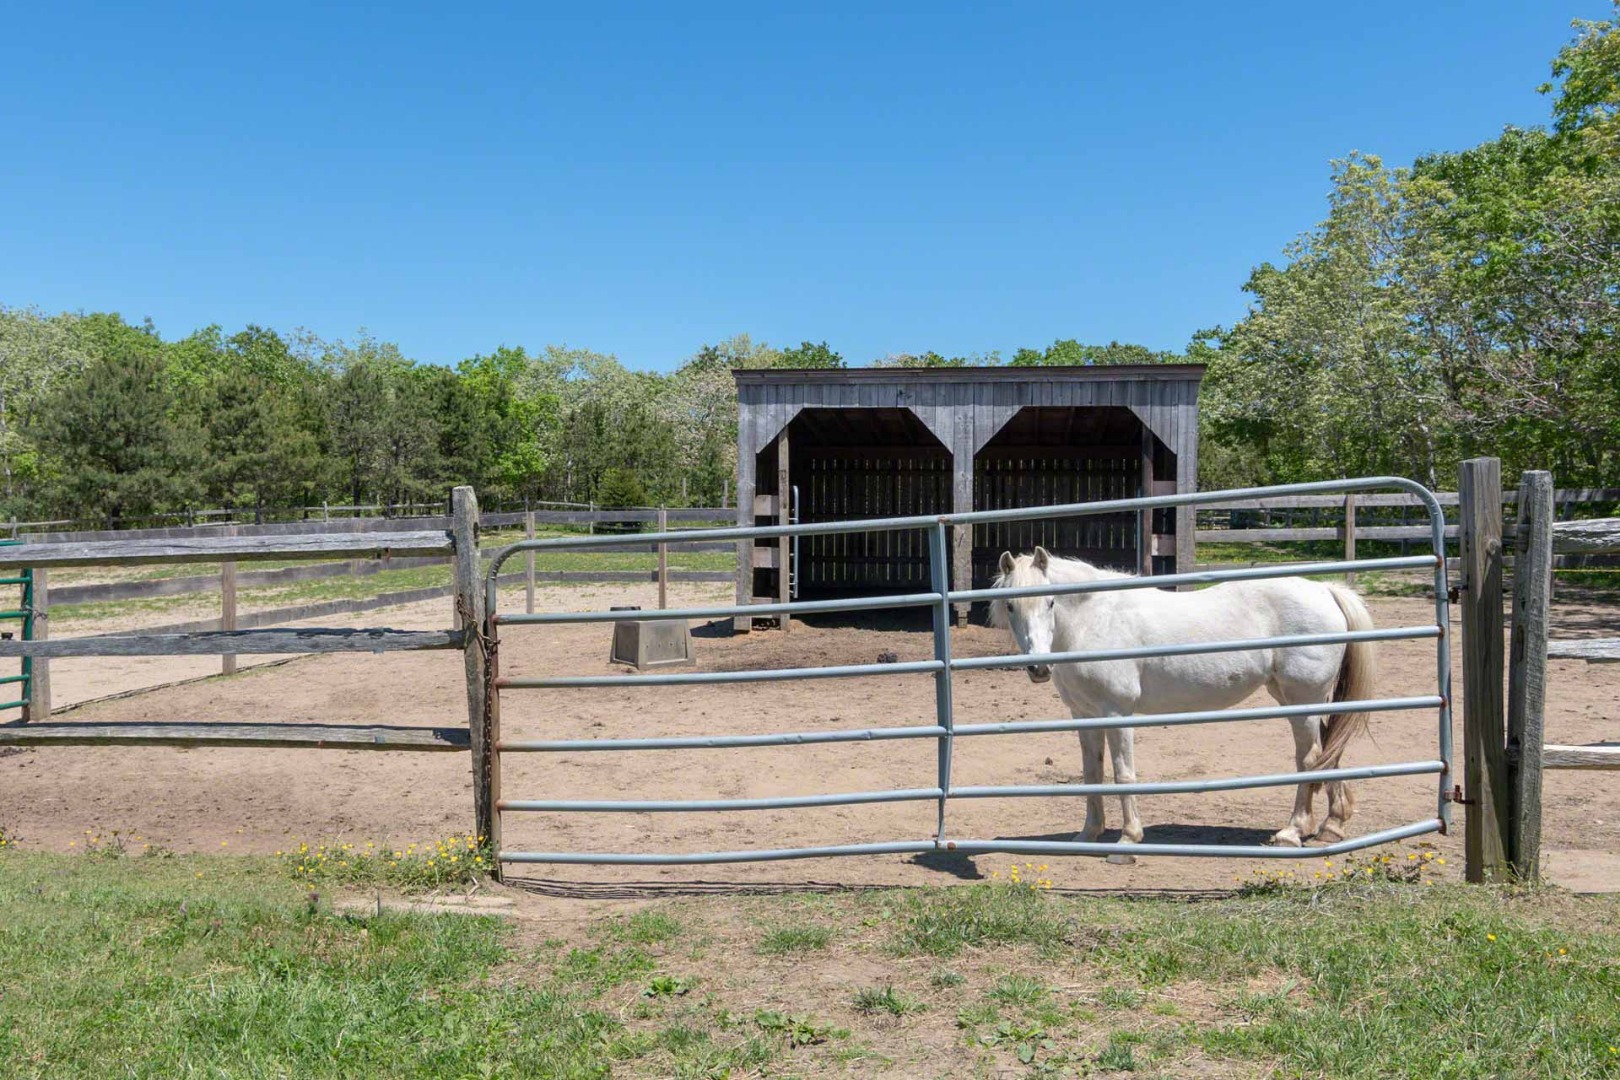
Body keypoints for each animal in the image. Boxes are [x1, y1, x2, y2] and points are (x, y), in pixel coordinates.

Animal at [990, 546, 1376, 850]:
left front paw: (1129, 838)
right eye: (1010, 606)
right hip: (1294, 697)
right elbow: (1092, 773)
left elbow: (1123, 773)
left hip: (1303, 699)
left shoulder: (1117, 713)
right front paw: (1088, 835)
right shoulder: (1084, 716)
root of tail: (1325, 590)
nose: (1039, 667)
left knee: (1309, 759)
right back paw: (1332, 825)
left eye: (1051, 601)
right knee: (1327, 751)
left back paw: (1293, 832)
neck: (1094, 622)